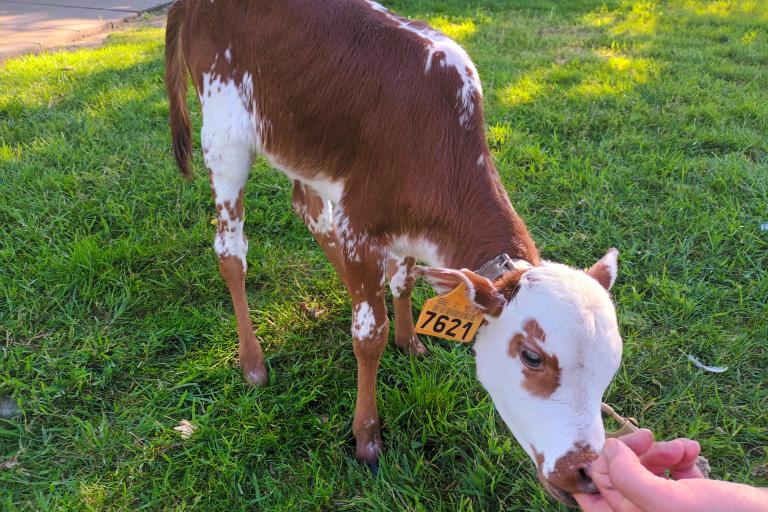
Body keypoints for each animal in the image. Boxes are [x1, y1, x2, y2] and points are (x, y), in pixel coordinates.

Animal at [164, 0, 624, 504]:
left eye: (612, 363)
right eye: (532, 357)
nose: (585, 471)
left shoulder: (403, 229)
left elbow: (403, 281)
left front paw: (410, 340)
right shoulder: (361, 225)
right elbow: (369, 337)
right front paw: (367, 435)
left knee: (308, 208)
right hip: (224, 135)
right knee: (231, 252)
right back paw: (252, 361)